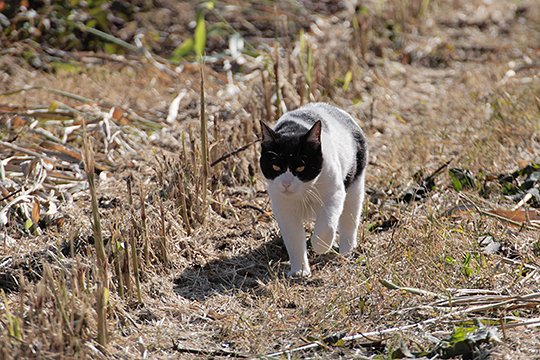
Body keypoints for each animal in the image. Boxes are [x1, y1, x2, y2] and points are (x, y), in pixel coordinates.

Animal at [260, 102, 368, 278]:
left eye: (301, 167)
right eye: (275, 167)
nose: (286, 183)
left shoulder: (334, 194)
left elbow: (327, 225)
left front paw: (321, 246)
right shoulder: (283, 208)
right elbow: (294, 239)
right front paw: (299, 271)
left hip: (355, 186)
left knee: (349, 220)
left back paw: (346, 251)